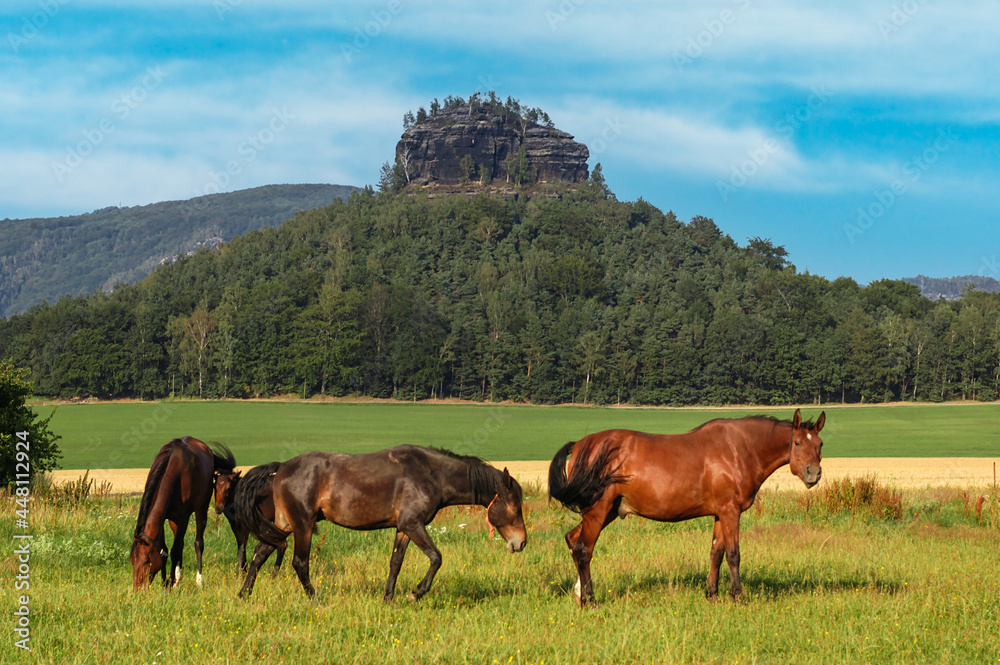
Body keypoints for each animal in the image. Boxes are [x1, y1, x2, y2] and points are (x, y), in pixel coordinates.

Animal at [130, 438, 235, 588]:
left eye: (146, 561)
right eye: (132, 561)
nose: (137, 589)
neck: (173, 471)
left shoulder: (183, 517)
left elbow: (175, 550)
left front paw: (169, 583)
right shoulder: (163, 517)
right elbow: (164, 549)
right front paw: (165, 582)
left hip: (201, 508)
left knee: (197, 542)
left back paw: (198, 580)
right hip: (173, 520)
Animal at [236, 448, 532, 600]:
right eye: (516, 508)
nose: (521, 543)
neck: (431, 475)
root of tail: (282, 467)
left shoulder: (403, 528)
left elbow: (395, 563)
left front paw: (389, 597)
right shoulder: (413, 524)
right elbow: (436, 558)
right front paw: (416, 593)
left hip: (284, 525)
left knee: (259, 554)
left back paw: (244, 594)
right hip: (303, 526)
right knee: (299, 563)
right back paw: (315, 598)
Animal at [552, 408, 824, 604]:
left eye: (819, 444)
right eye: (797, 443)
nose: (814, 473)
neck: (740, 449)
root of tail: (580, 444)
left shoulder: (720, 514)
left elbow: (716, 553)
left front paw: (712, 594)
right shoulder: (730, 512)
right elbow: (733, 554)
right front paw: (737, 596)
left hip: (605, 511)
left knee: (572, 540)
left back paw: (578, 592)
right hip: (598, 510)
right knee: (584, 549)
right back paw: (589, 599)